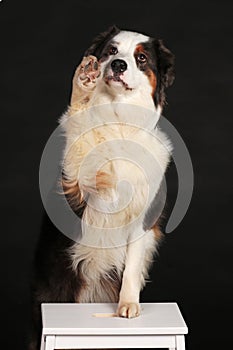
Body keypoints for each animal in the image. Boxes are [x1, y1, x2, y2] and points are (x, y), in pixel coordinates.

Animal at [29, 26, 175, 350]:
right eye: (111, 51)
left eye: (142, 58)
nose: (118, 65)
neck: (119, 121)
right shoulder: (76, 187)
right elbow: (80, 132)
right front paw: (84, 83)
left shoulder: (144, 218)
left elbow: (132, 265)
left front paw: (128, 305)